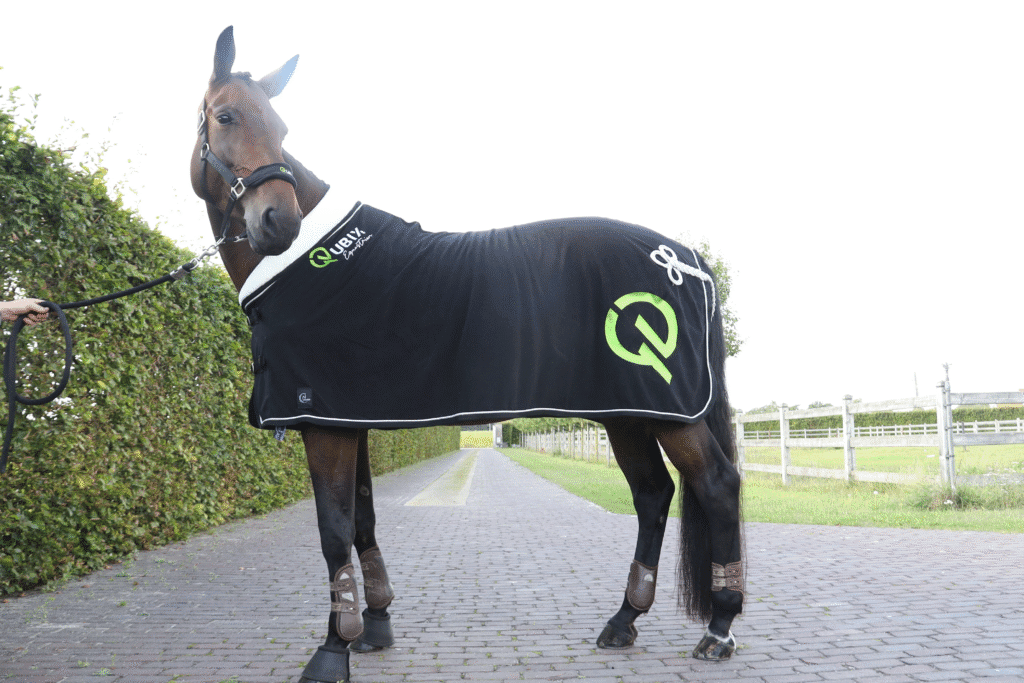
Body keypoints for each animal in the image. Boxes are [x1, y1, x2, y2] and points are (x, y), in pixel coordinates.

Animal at [190, 26, 745, 683]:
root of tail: (687, 259)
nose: (279, 222)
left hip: (668, 411)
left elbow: (333, 529)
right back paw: (624, 620)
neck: (310, 267)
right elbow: (362, 518)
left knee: (716, 484)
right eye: (226, 116)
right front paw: (374, 626)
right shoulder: (349, 417)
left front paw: (332, 650)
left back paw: (719, 627)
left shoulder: (323, 423)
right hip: (627, 413)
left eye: (281, 127)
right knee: (654, 495)